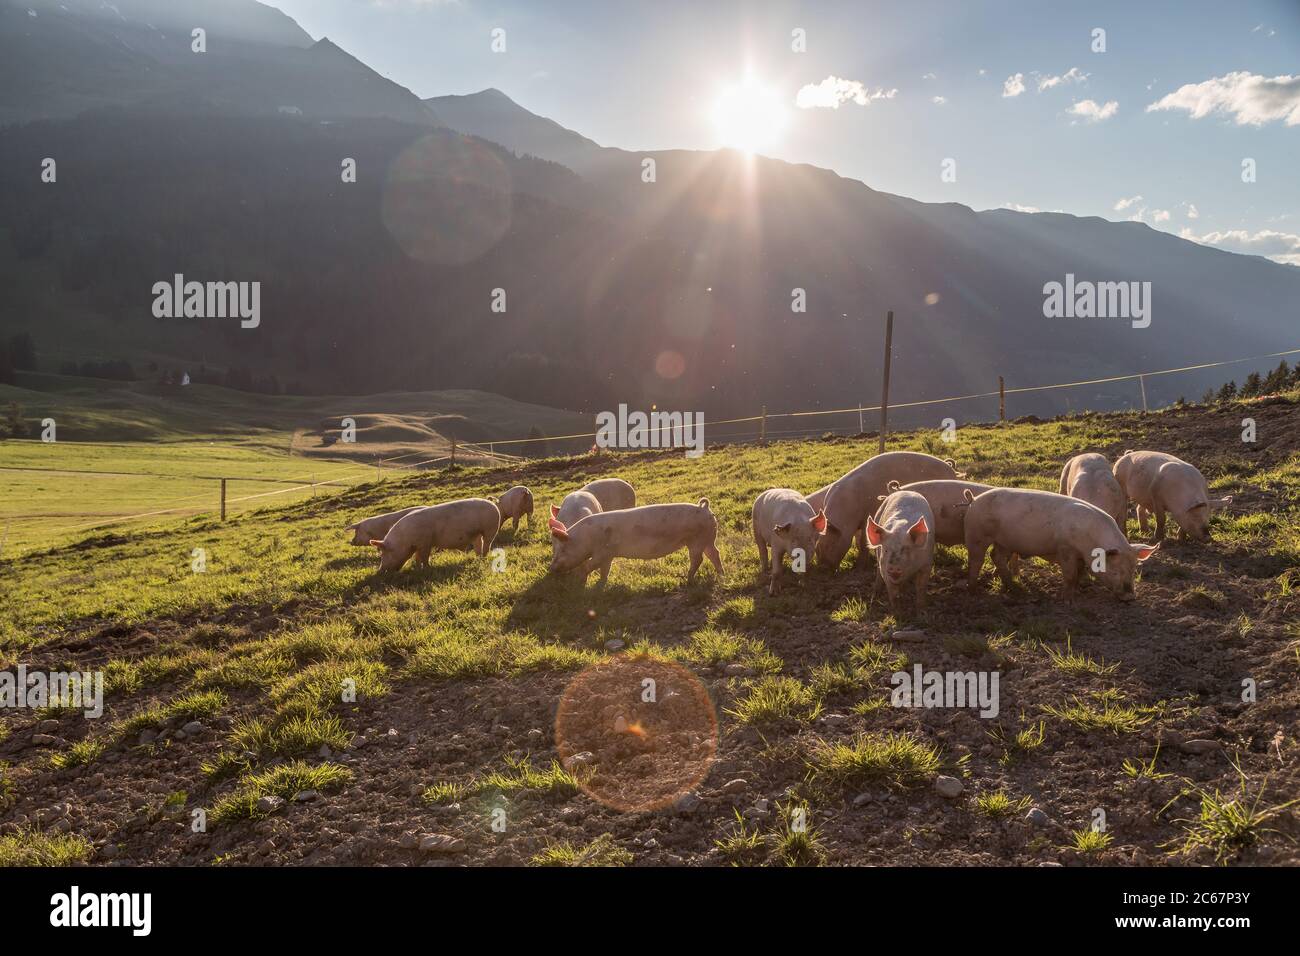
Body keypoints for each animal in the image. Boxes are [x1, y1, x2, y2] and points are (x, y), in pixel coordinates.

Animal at [374, 496, 504, 572]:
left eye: (383, 553)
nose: (380, 571)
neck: (404, 539)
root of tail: (493, 504)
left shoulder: (425, 543)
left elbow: (424, 557)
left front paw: (427, 568)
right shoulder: (419, 545)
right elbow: (417, 557)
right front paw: (417, 568)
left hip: (490, 528)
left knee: (487, 545)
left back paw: (484, 558)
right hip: (476, 534)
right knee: (478, 545)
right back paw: (478, 559)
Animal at [548, 496, 722, 587]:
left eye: (562, 549)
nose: (551, 568)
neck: (587, 537)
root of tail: (705, 509)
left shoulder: (603, 552)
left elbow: (590, 565)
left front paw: (579, 578)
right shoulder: (609, 555)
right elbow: (605, 570)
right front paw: (601, 584)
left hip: (697, 540)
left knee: (698, 559)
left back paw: (688, 580)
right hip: (707, 538)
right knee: (714, 553)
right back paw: (721, 575)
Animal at [811, 455, 967, 567]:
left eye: (830, 545)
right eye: (817, 547)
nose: (822, 568)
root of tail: (951, 469)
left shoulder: (866, 516)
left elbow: (863, 542)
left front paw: (860, 565)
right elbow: (859, 542)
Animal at [961, 489, 1164, 600]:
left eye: (1134, 570)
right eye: (1115, 571)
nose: (1130, 597)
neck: (1090, 541)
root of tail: (973, 501)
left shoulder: (1080, 555)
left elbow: (1080, 571)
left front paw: (1082, 587)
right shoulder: (1065, 548)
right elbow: (1070, 574)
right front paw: (1068, 599)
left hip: (1005, 541)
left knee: (996, 556)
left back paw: (1015, 589)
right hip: (977, 534)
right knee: (976, 560)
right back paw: (973, 590)